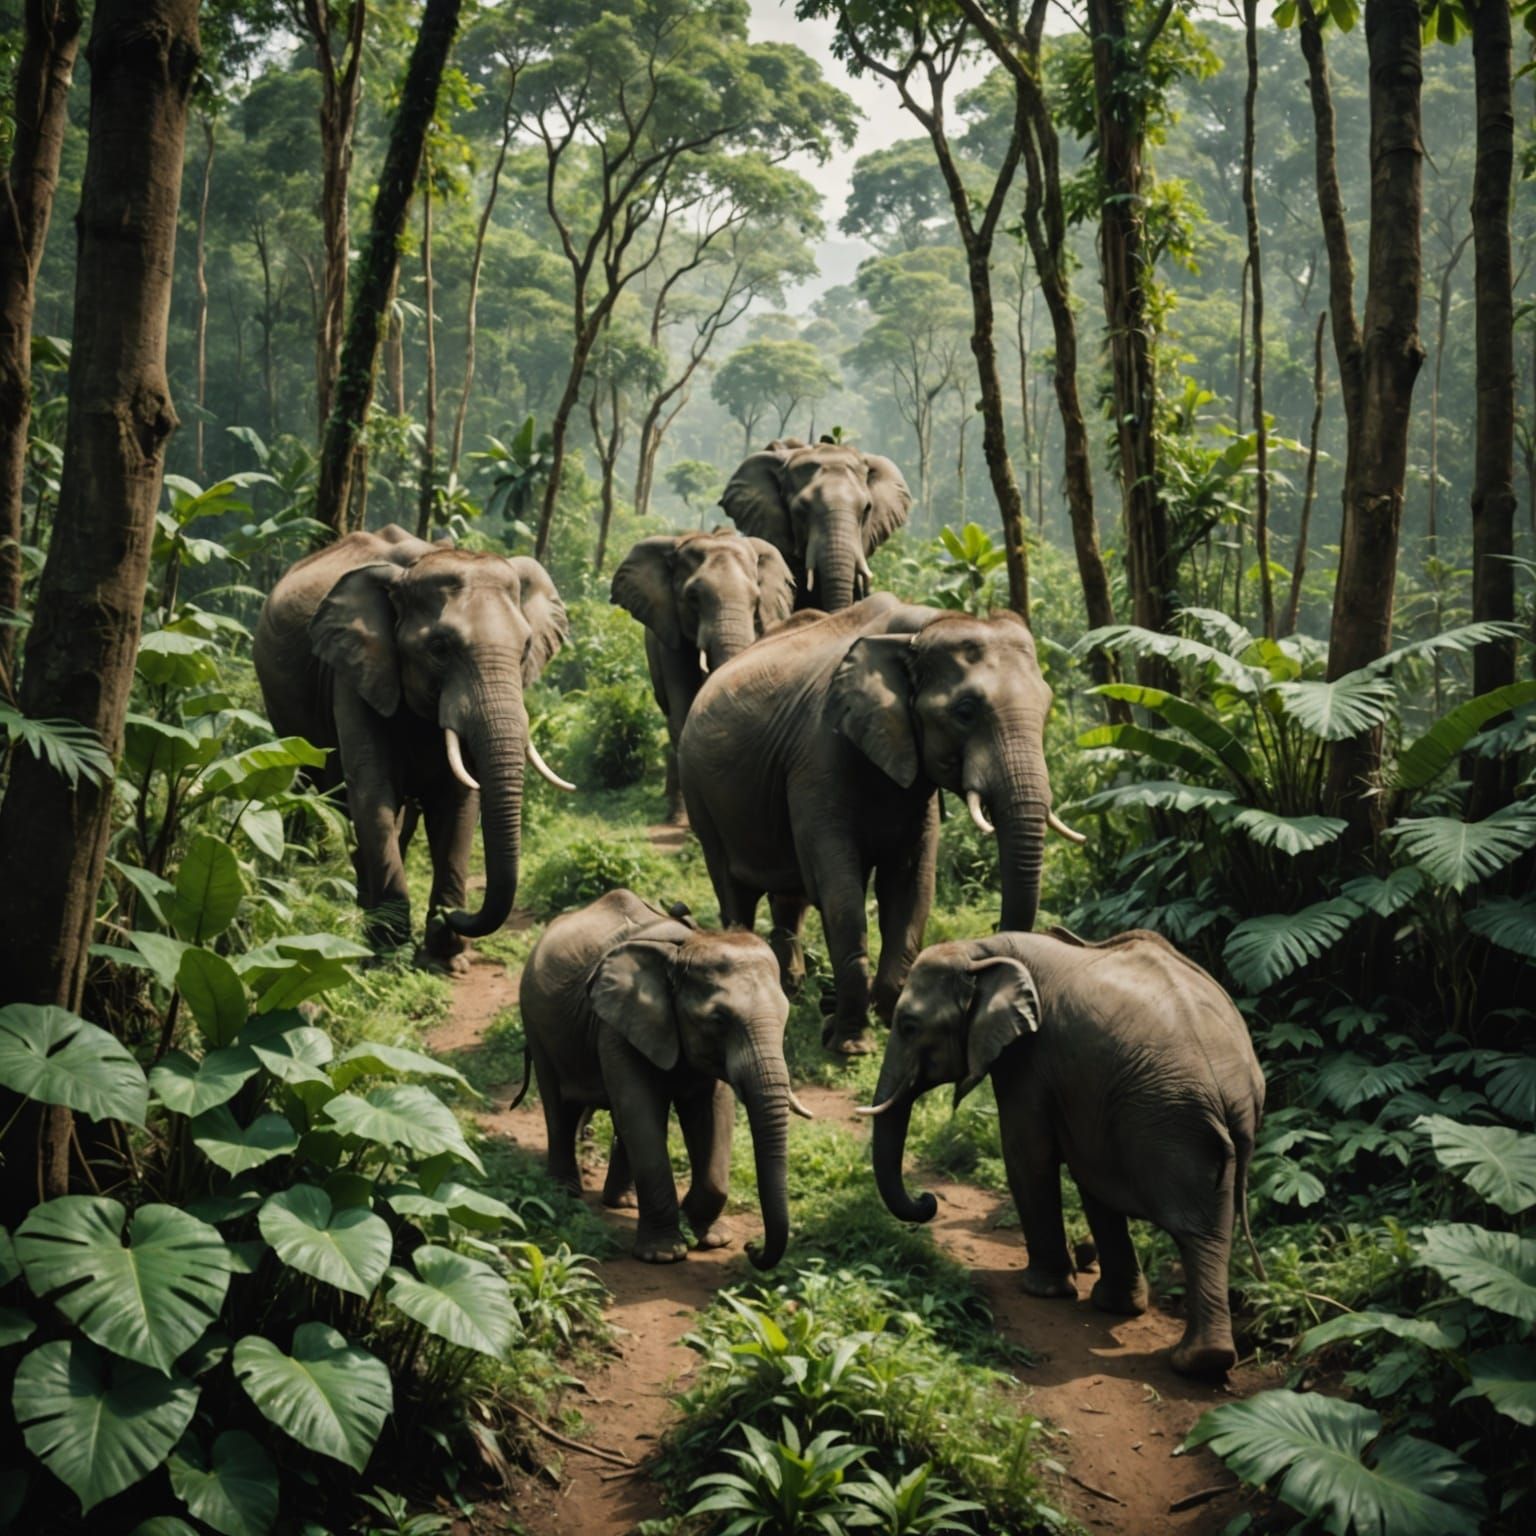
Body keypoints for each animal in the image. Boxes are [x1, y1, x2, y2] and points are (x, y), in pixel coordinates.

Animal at [253, 525, 571, 968]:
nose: (454, 914)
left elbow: (459, 798)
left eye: (525, 648)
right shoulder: (353, 671)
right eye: (439, 649)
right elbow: (372, 790)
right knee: (322, 793)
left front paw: (445, 958)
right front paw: (391, 954)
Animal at [513, 889, 812, 1268]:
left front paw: (712, 1237)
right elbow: (641, 1110)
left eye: (786, 1015)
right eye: (718, 1020)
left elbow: (713, 1113)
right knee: (560, 1106)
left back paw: (623, 1202)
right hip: (535, 1018)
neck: (685, 949)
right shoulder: (615, 1027)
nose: (752, 1248)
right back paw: (564, 1192)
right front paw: (664, 1255)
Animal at [677, 595, 1085, 1054]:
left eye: (1047, 707)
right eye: (965, 712)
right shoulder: (818, 755)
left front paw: (889, 1018)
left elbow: (909, 883)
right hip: (698, 790)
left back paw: (791, 989)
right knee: (734, 890)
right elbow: (839, 889)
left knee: (789, 894)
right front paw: (851, 1045)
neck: (920, 629)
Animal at [862, 927, 1266, 1377]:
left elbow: (1027, 1153)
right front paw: (1109, 1304)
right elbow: (1082, 1172)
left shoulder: (1029, 1059)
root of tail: (1231, 1088)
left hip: (1169, 1121)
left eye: (908, 1026)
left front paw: (1043, 1290)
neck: (983, 949)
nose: (928, 1201)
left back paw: (1196, 1361)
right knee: (1210, 1226)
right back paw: (1206, 1360)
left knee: (1193, 1228)